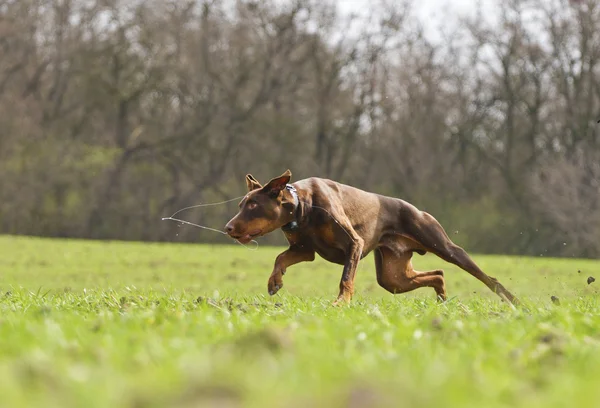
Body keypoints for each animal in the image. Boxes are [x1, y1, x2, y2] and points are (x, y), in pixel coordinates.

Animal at [225, 169, 520, 306]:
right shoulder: (303, 249)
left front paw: (341, 303)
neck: (302, 207)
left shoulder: (353, 245)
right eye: (241, 204)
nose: (227, 227)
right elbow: (280, 257)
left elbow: (346, 278)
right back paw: (441, 298)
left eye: (253, 205)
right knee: (438, 274)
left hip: (443, 245)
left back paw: (514, 302)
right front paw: (274, 281)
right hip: (393, 277)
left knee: (487, 278)